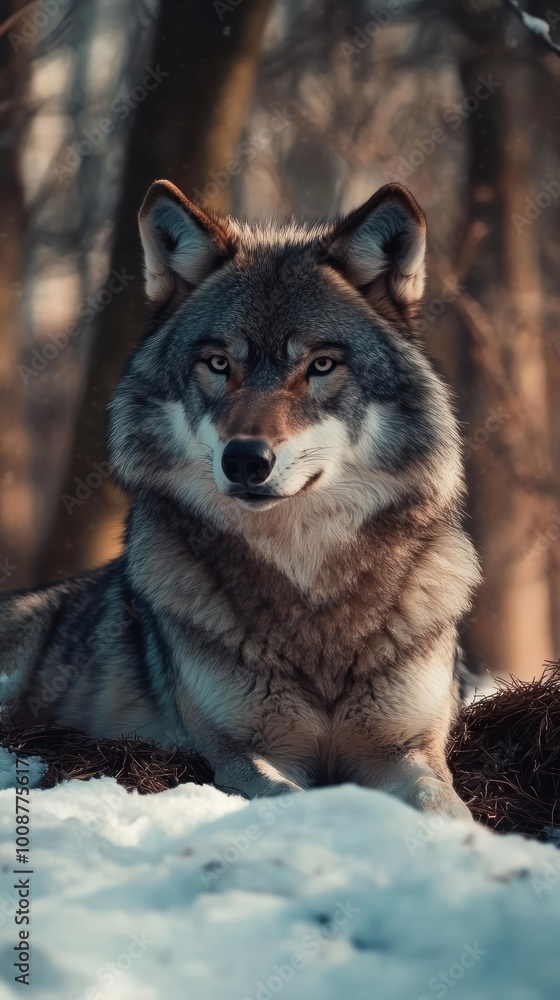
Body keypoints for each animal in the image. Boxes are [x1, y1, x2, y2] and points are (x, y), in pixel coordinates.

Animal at [0, 179, 479, 817]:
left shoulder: (408, 747)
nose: (246, 459)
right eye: (219, 363)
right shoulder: (241, 752)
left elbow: (442, 803)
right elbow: (287, 797)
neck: (310, 595)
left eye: (320, 364)